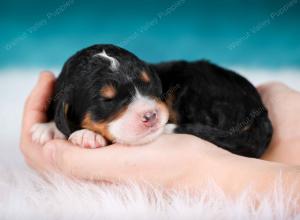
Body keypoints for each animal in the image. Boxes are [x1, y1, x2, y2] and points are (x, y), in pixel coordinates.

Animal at [31, 43, 274, 157]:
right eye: (107, 100)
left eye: (148, 85)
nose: (150, 115)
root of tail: (260, 112)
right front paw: (46, 128)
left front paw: (85, 135)